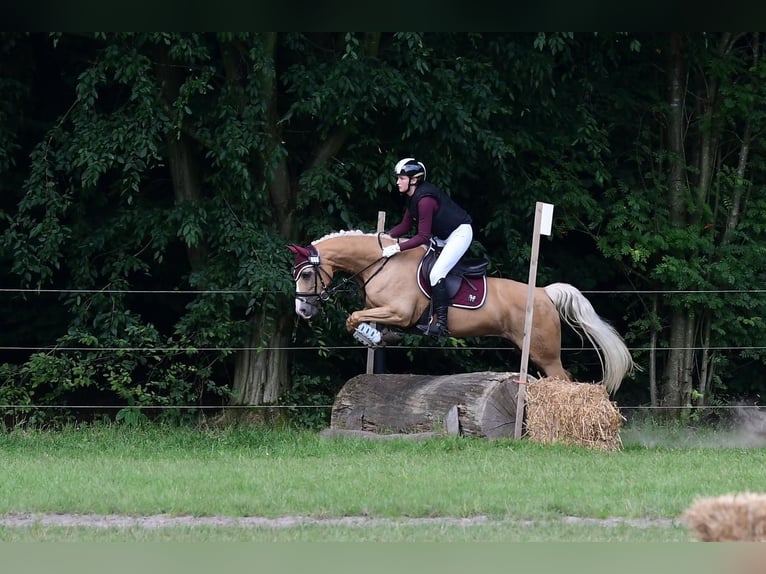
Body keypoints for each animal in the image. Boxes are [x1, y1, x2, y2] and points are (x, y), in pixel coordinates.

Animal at [288, 231, 636, 396]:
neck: (382, 263)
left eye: (307, 274)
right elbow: (363, 315)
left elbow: (354, 317)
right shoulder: (383, 308)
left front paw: (370, 335)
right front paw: (380, 336)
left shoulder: (400, 312)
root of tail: (543, 292)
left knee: (564, 380)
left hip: (544, 351)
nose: (303, 310)